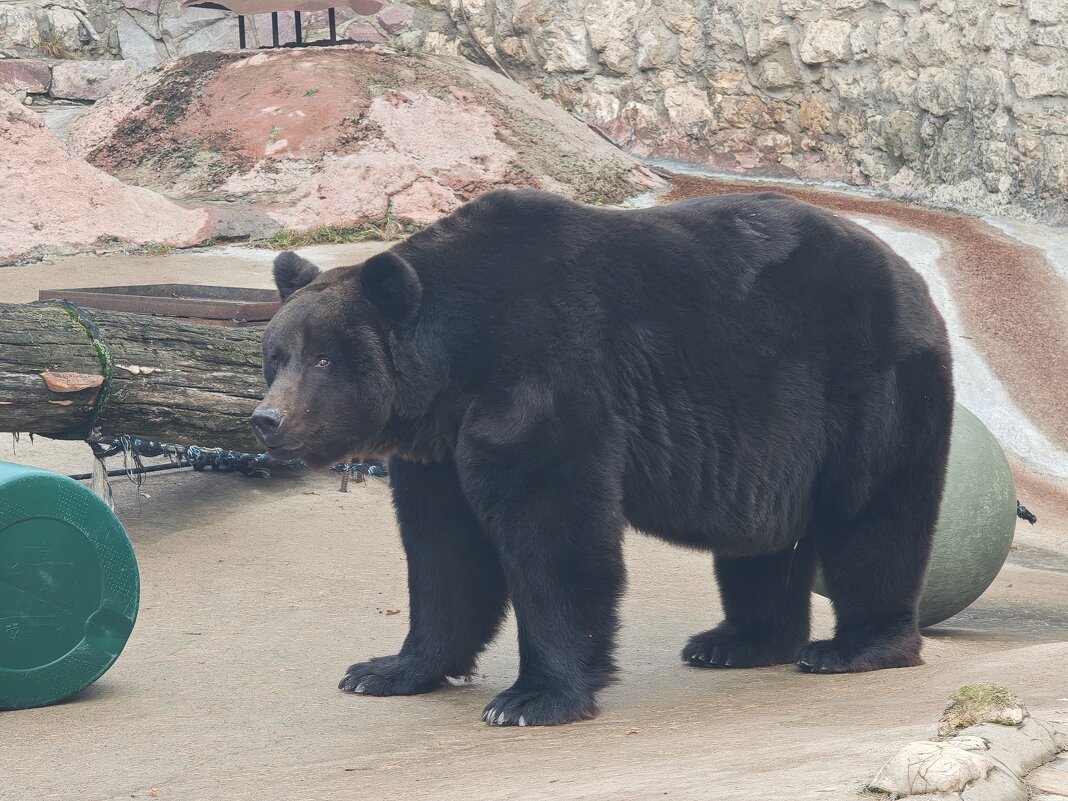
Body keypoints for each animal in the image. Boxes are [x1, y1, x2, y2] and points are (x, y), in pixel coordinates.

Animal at [254, 187, 956, 726]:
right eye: (277, 355)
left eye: (324, 358)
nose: (267, 420)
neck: (457, 362)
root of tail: (914, 280)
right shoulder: (439, 447)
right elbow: (443, 549)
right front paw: (383, 669)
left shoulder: (545, 379)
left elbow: (554, 531)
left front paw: (530, 699)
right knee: (762, 539)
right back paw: (736, 641)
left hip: (868, 388)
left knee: (873, 518)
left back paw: (855, 646)